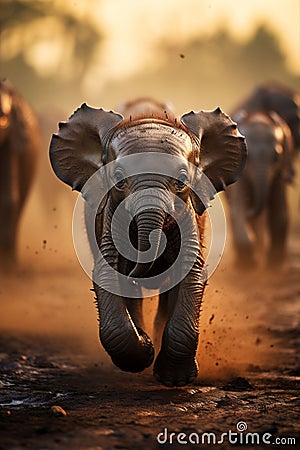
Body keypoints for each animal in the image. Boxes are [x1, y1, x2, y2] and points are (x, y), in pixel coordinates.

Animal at [49, 98, 246, 386]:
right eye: (118, 178)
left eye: (182, 180)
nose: (140, 269)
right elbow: (107, 273)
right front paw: (143, 352)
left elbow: (190, 271)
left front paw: (175, 379)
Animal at [227, 110, 292, 268]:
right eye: (247, 157)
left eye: (276, 158)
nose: (251, 211)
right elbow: (238, 209)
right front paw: (248, 266)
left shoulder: (279, 173)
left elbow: (279, 213)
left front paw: (274, 265)